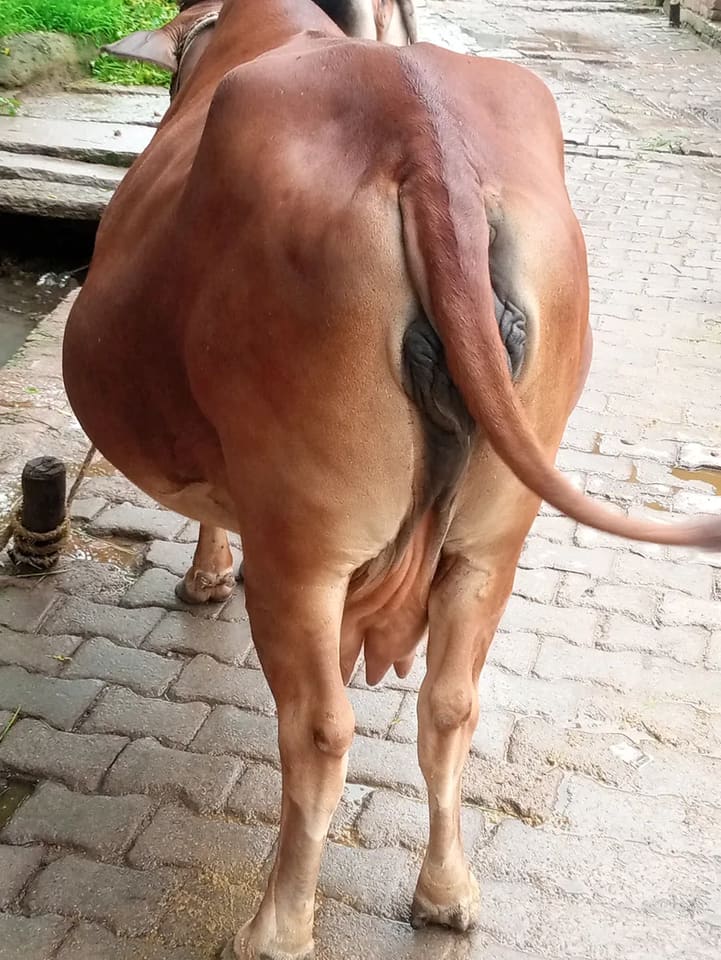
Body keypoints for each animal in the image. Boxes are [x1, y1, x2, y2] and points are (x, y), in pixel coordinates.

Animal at [63, 1, 721, 957]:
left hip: (307, 546)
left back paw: (276, 926)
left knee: (318, 729)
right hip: (490, 539)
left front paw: (205, 577)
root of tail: (424, 140)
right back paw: (446, 892)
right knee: (449, 707)